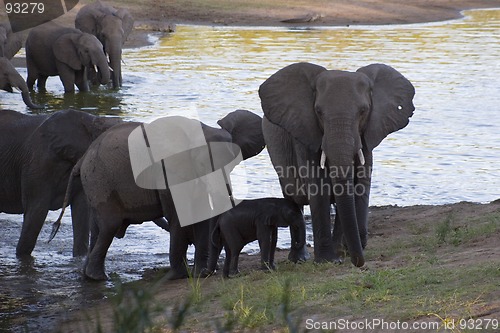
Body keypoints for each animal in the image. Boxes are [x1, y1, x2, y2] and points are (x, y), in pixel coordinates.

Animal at [51, 109, 266, 280]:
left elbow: (200, 215)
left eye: (233, 165)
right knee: (109, 226)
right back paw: (98, 278)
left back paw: (89, 275)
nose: (209, 273)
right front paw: (177, 276)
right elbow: (178, 215)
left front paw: (196, 274)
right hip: (99, 180)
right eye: (203, 164)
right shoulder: (167, 170)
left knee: (98, 228)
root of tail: (82, 158)